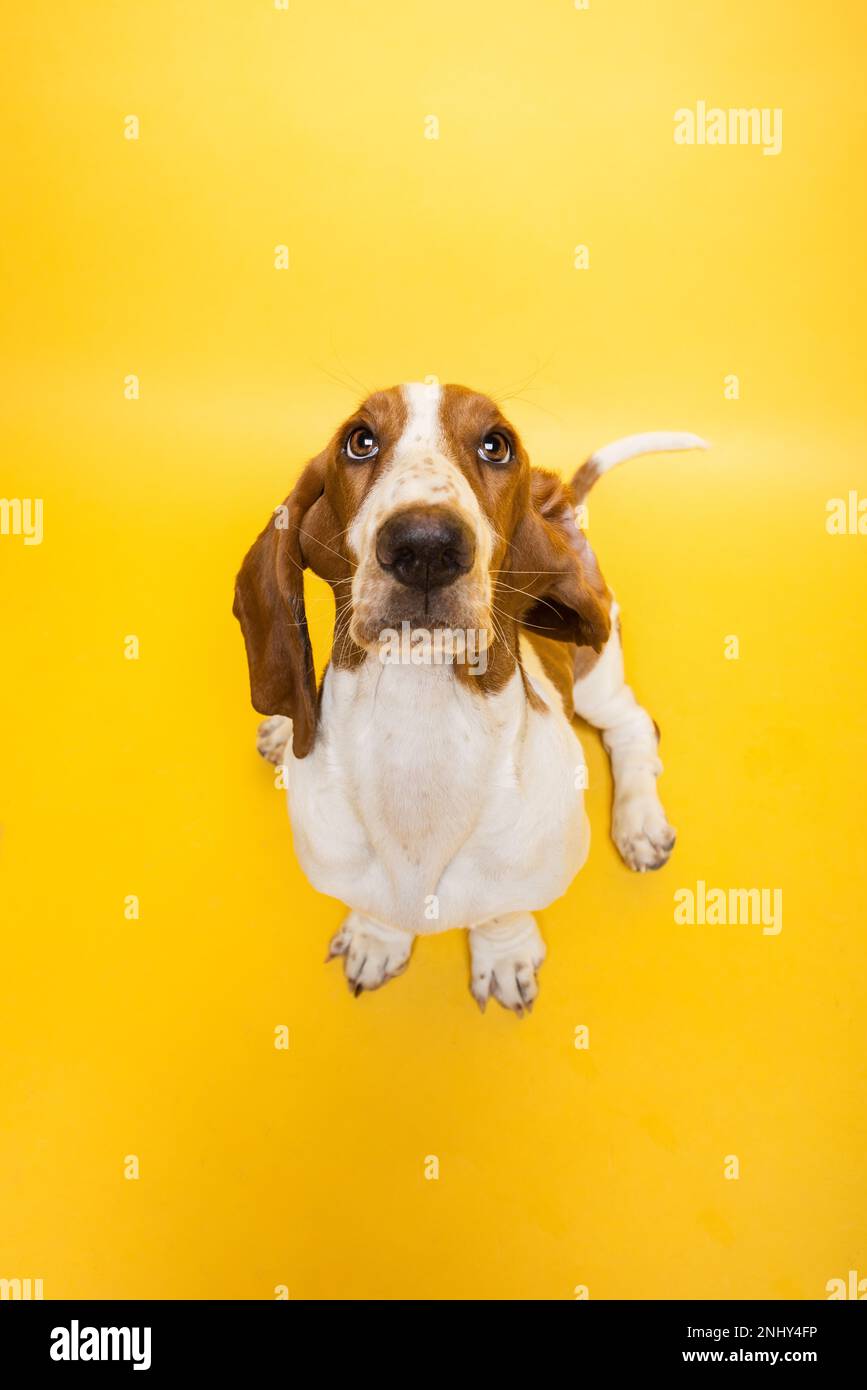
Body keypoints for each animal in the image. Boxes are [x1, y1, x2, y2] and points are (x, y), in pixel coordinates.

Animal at [232, 386, 705, 1017]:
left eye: (496, 445)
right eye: (360, 441)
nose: (425, 545)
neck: (419, 721)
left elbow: (502, 912)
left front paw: (504, 956)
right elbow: (378, 909)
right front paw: (377, 939)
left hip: (596, 671)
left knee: (633, 726)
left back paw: (639, 822)